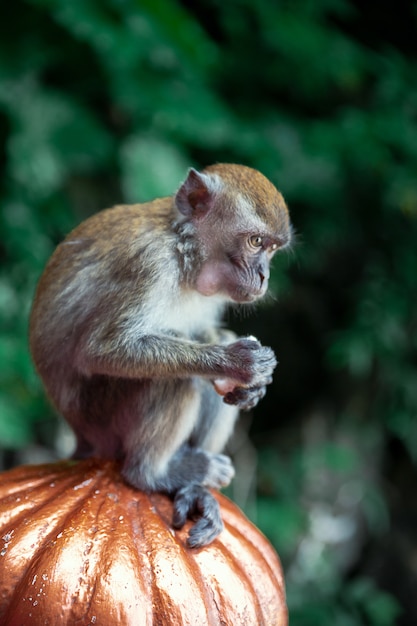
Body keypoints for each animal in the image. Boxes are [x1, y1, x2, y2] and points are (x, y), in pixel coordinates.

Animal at [29, 162, 290, 544]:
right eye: (255, 241)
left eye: (271, 249)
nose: (263, 276)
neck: (183, 251)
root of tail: (81, 436)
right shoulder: (148, 264)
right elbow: (103, 349)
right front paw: (237, 363)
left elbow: (205, 332)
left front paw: (252, 382)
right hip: (102, 418)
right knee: (175, 380)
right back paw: (151, 474)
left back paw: (192, 486)